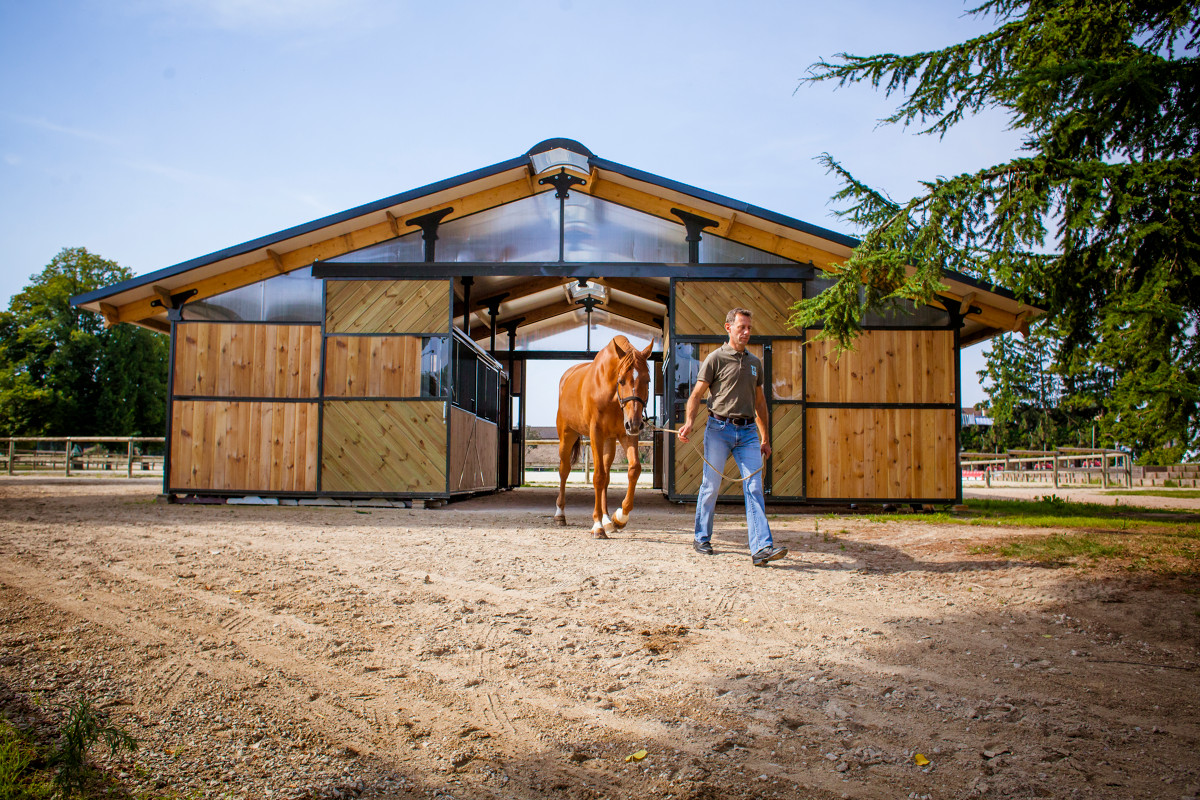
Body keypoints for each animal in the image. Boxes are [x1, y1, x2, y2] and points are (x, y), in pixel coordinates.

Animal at [554, 335, 652, 537]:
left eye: (647, 380)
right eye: (621, 381)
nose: (636, 423)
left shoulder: (626, 434)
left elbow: (634, 469)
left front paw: (619, 517)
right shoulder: (596, 433)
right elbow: (597, 477)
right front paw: (597, 526)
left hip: (610, 441)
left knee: (607, 477)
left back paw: (607, 520)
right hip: (567, 436)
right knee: (564, 470)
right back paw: (560, 514)